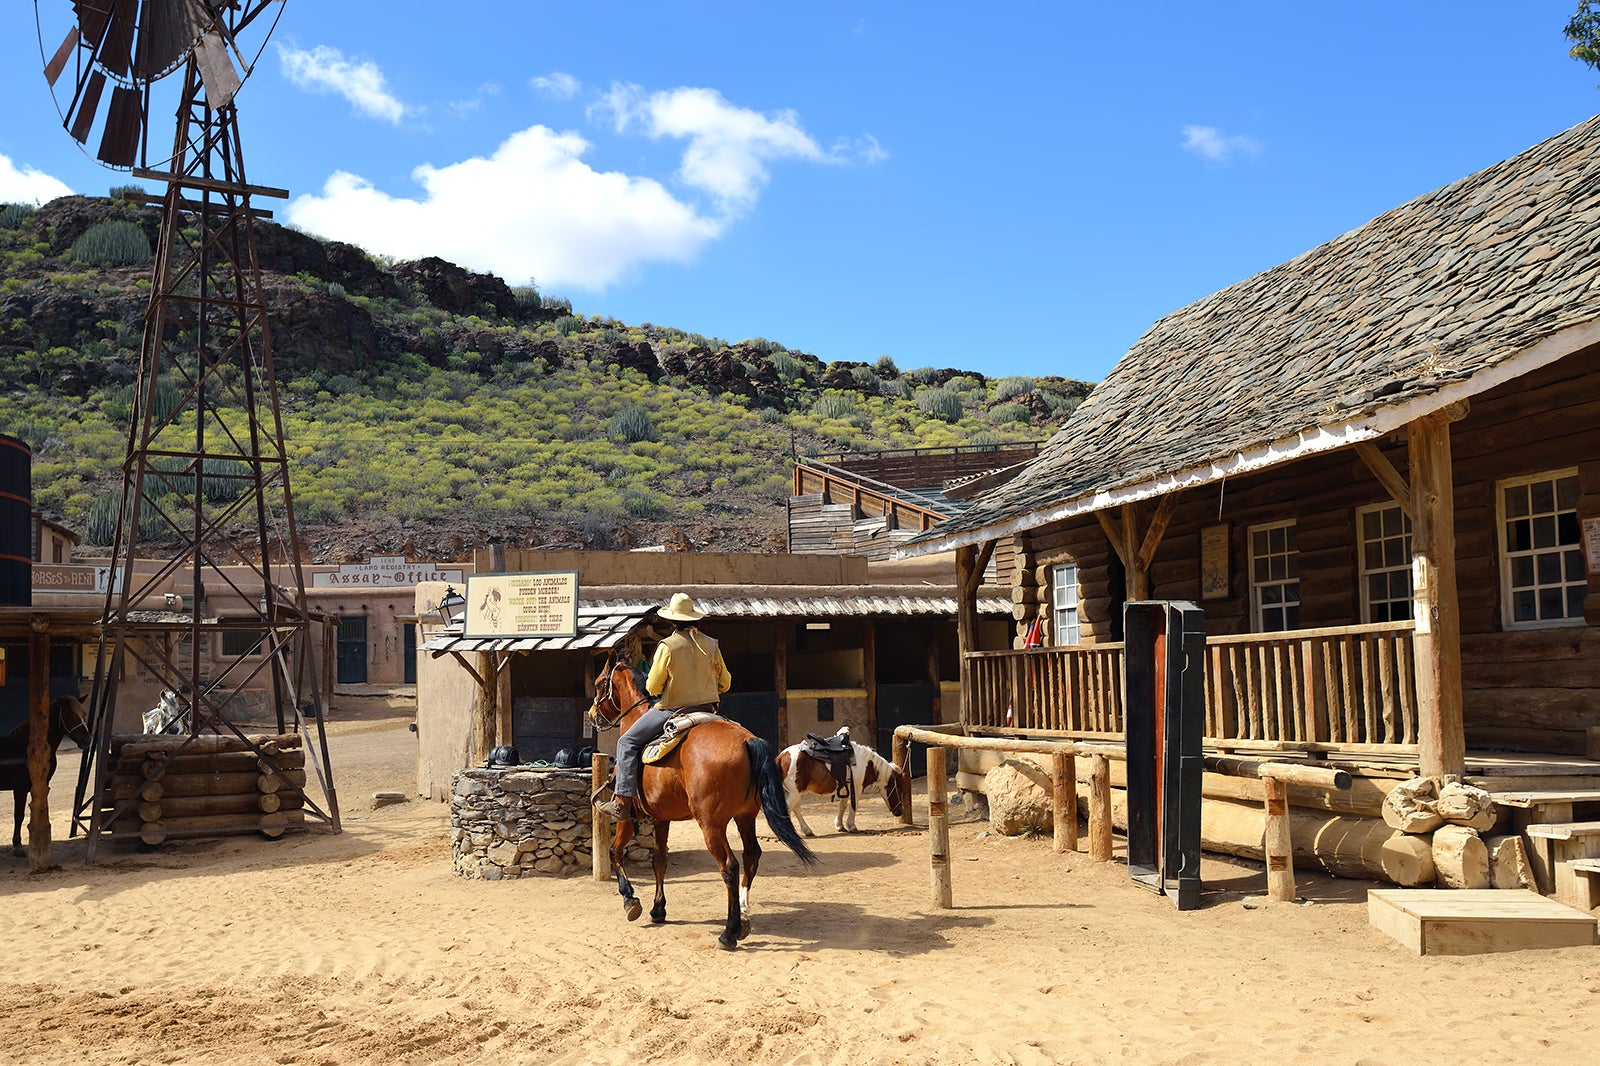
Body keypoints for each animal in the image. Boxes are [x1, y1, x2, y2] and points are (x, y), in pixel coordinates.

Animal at [1, 697, 91, 857]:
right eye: (69, 715)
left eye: (84, 714)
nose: (87, 740)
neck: (30, 750)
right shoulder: (20, 788)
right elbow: (19, 815)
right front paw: (17, 845)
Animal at [588, 646, 819, 947]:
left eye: (598, 684)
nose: (592, 714)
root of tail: (747, 741)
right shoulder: (661, 819)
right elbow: (659, 860)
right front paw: (658, 909)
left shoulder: (628, 815)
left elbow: (615, 852)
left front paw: (631, 900)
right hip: (745, 816)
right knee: (751, 857)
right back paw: (743, 918)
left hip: (711, 824)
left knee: (730, 866)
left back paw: (729, 931)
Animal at [777, 726, 908, 832]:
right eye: (900, 788)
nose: (900, 812)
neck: (866, 763)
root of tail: (781, 757)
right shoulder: (857, 788)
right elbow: (853, 806)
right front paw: (851, 826)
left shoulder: (845, 788)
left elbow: (842, 806)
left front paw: (840, 826)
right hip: (795, 793)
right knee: (789, 809)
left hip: (795, 792)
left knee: (796, 809)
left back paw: (807, 830)